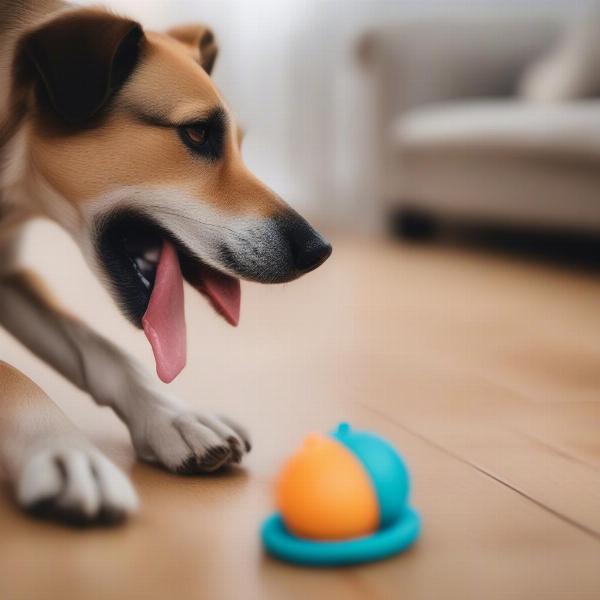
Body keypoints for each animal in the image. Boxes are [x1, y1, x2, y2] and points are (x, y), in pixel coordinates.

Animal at [0, 0, 332, 524]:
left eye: (239, 142)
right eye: (197, 132)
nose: (319, 250)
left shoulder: (11, 273)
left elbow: (97, 347)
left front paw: (175, 417)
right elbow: (10, 374)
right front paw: (63, 450)